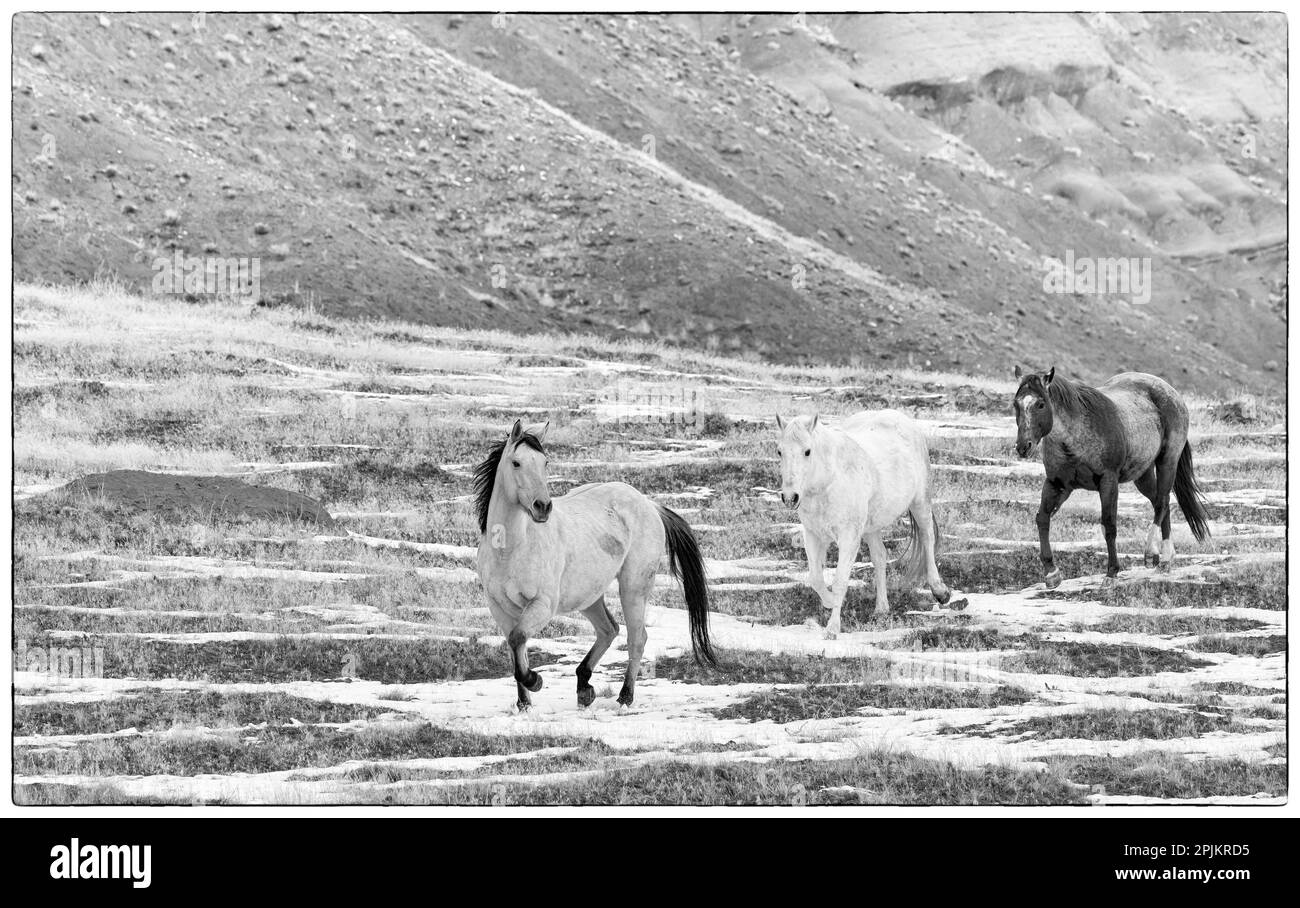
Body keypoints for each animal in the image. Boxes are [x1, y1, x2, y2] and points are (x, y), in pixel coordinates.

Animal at [473, 418, 715, 711]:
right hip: (588, 595)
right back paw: (584, 687)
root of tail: (649, 505)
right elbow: (514, 645)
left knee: (636, 638)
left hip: (633, 588)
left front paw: (535, 681)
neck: (511, 549)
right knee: (609, 629)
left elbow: (518, 638)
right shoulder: (499, 608)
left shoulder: (542, 605)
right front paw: (524, 704)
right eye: (516, 463)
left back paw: (624, 697)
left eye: (545, 462)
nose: (542, 507)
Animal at [775, 410, 951, 637]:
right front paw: (829, 602)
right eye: (780, 451)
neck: (828, 482)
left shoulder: (848, 537)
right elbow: (815, 578)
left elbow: (840, 581)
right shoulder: (813, 535)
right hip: (871, 527)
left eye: (807, 451)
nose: (790, 497)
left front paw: (832, 628)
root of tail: (899, 416)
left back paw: (940, 591)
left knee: (928, 538)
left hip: (920, 502)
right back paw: (881, 609)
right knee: (880, 556)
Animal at [1012, 366, 1211, 587]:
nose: (1023, 446)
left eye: (1040, 404)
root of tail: (1171, 392)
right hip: (1143, 475)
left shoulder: (1108, 481)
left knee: (1161, 502)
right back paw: (1166, 560)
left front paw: (1111, 572)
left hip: (1167, 461)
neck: (1073, 440)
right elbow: (1042, 519)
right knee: (1161, 502)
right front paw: (1051, 573)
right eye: (1015, 404)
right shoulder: (1056, 484)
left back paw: (1152, 554)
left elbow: (1109, 524)